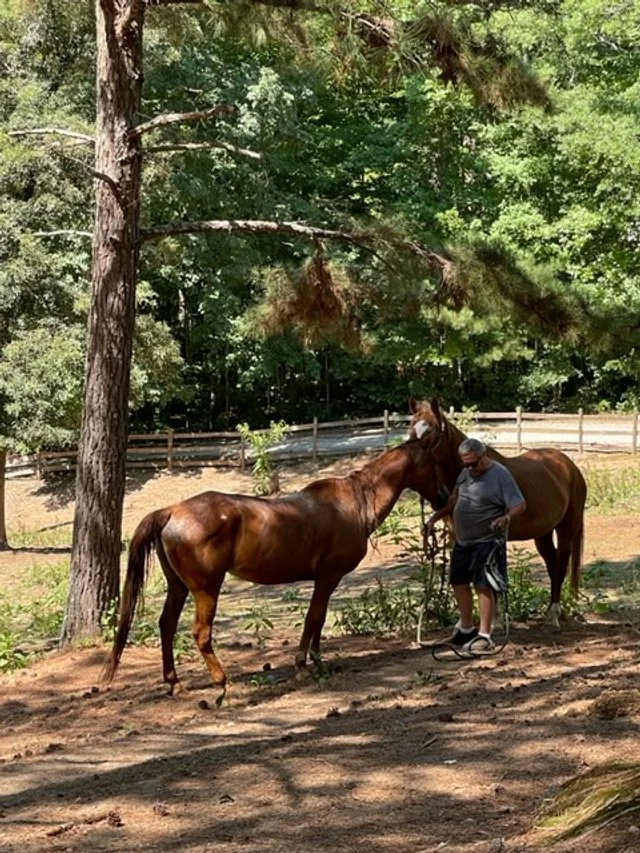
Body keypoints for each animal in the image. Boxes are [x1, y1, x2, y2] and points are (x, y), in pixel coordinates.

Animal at [104, 436, 437, 695]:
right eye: (434, 462)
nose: (442, 497)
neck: (354, 504)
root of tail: (171, 510)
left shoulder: (326, 580)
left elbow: (319, 618)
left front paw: (318, 661)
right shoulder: (328, 576)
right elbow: (313, 618)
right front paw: (303, 665)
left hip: (178, 586)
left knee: (167, 625)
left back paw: (175, 684)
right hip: (206, 589)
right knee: (200, 632)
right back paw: (221, 682)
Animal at [408, 397, 587, 626]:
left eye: (430, 431)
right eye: (412, 428)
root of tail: (571, 468)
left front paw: (494, 620)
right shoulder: (461, 539)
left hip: (566, 528)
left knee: (561, 565)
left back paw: (554, 614)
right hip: (543, 533)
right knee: (552, 564)